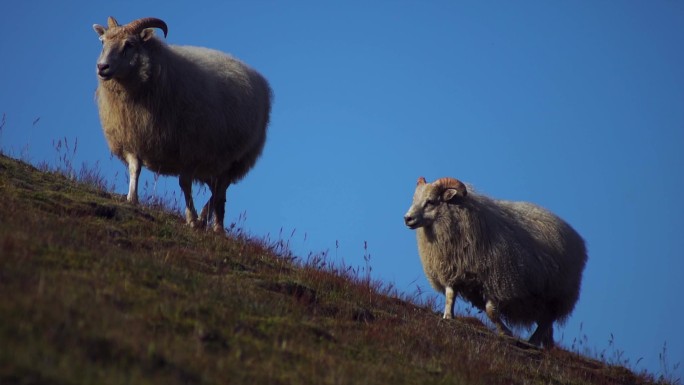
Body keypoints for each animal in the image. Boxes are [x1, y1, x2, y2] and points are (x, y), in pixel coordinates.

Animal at [91, 15, 272, 231]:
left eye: (129, 44)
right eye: (102, 42)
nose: (102, 67)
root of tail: (258, 77)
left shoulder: (190, 149)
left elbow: (185, 184)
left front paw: (191, 218)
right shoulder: (132, 137)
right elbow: (135, 168)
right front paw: (132, 199)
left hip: (235, 160)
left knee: (220, 190)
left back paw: (214, 225)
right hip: (214, 163)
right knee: (217, 192)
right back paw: (210, 221)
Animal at [404, 177, 584, 348]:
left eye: (431, 201)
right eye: (415, 198)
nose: (407, 218)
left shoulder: (495, 281)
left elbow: (491, 310)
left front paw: (506, 333)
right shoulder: (452, 270)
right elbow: (450, 295)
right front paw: (448, 316)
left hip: (558, 294)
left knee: (547, 321)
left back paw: (533, 342)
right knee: (546, 324)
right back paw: (546, 345)